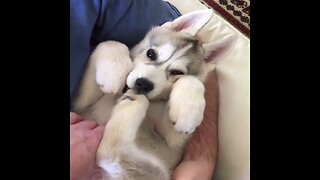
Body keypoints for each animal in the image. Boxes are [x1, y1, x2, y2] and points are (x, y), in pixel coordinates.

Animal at [74, 9, 236, 180]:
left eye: (177, 72)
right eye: (151, 53)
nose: (143, 84)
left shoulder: (172, 143)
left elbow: (192, 80)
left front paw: (187, 111)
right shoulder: (81, 104)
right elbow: (112, 43)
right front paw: (114, 71)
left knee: (112, 153)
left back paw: (132, 103)